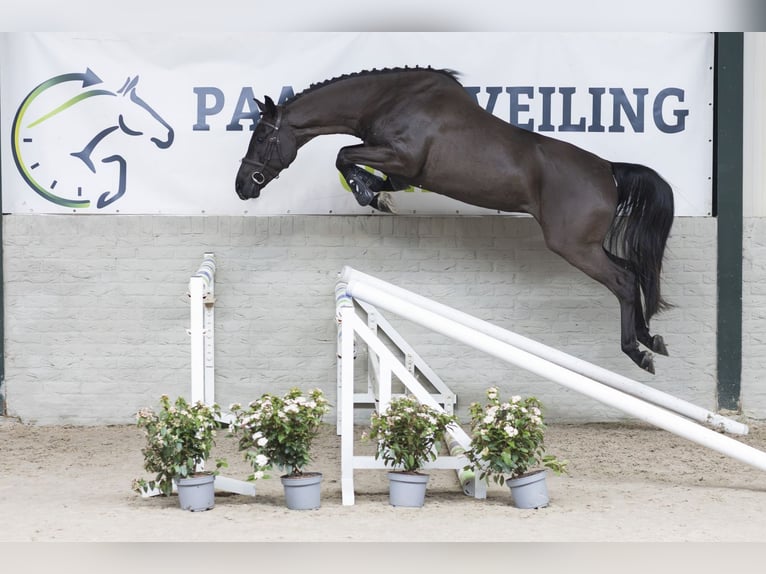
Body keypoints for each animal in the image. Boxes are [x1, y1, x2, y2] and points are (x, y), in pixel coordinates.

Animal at [234, 67, 674, 374]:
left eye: (261, 136)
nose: (242, 186)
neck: (388, 101)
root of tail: (608, 170)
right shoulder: (404, 170)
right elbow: (361, 166)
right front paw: (376, 193)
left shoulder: (401, 158)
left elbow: (344, 154)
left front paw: (370, 195)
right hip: (586, 246)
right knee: (634, 272)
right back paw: (650, 338)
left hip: (573, 246)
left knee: (623, 281)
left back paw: (637, 351)